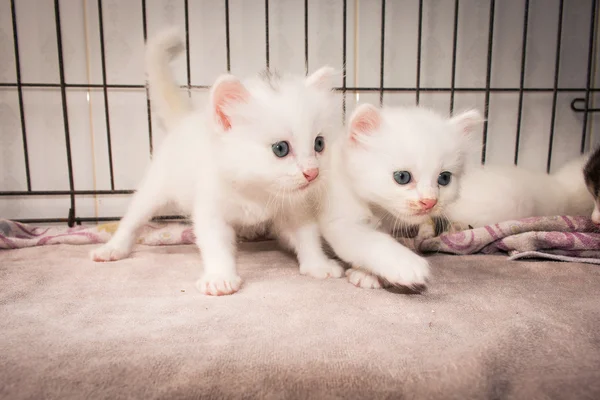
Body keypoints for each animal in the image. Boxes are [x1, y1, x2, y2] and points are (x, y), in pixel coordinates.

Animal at [88, 28, 342, 296]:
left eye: (319, 144)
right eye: (280, 149)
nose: (312, 172)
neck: (256, 191)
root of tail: (185, 120)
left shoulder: (294, 206)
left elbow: (307, 235)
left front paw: (318, 265)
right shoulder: (211, 207)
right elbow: (215, 243)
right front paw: (220, 277)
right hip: (156, 187)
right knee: (134, 216)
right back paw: (113, 248)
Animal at [318, 104, 482, 290]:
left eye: (444, 178)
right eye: (402, 177)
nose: (429, 202)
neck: (377, 209)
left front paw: (367, 274)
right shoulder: (338, 219)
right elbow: (370, 241)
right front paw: (406, 264)